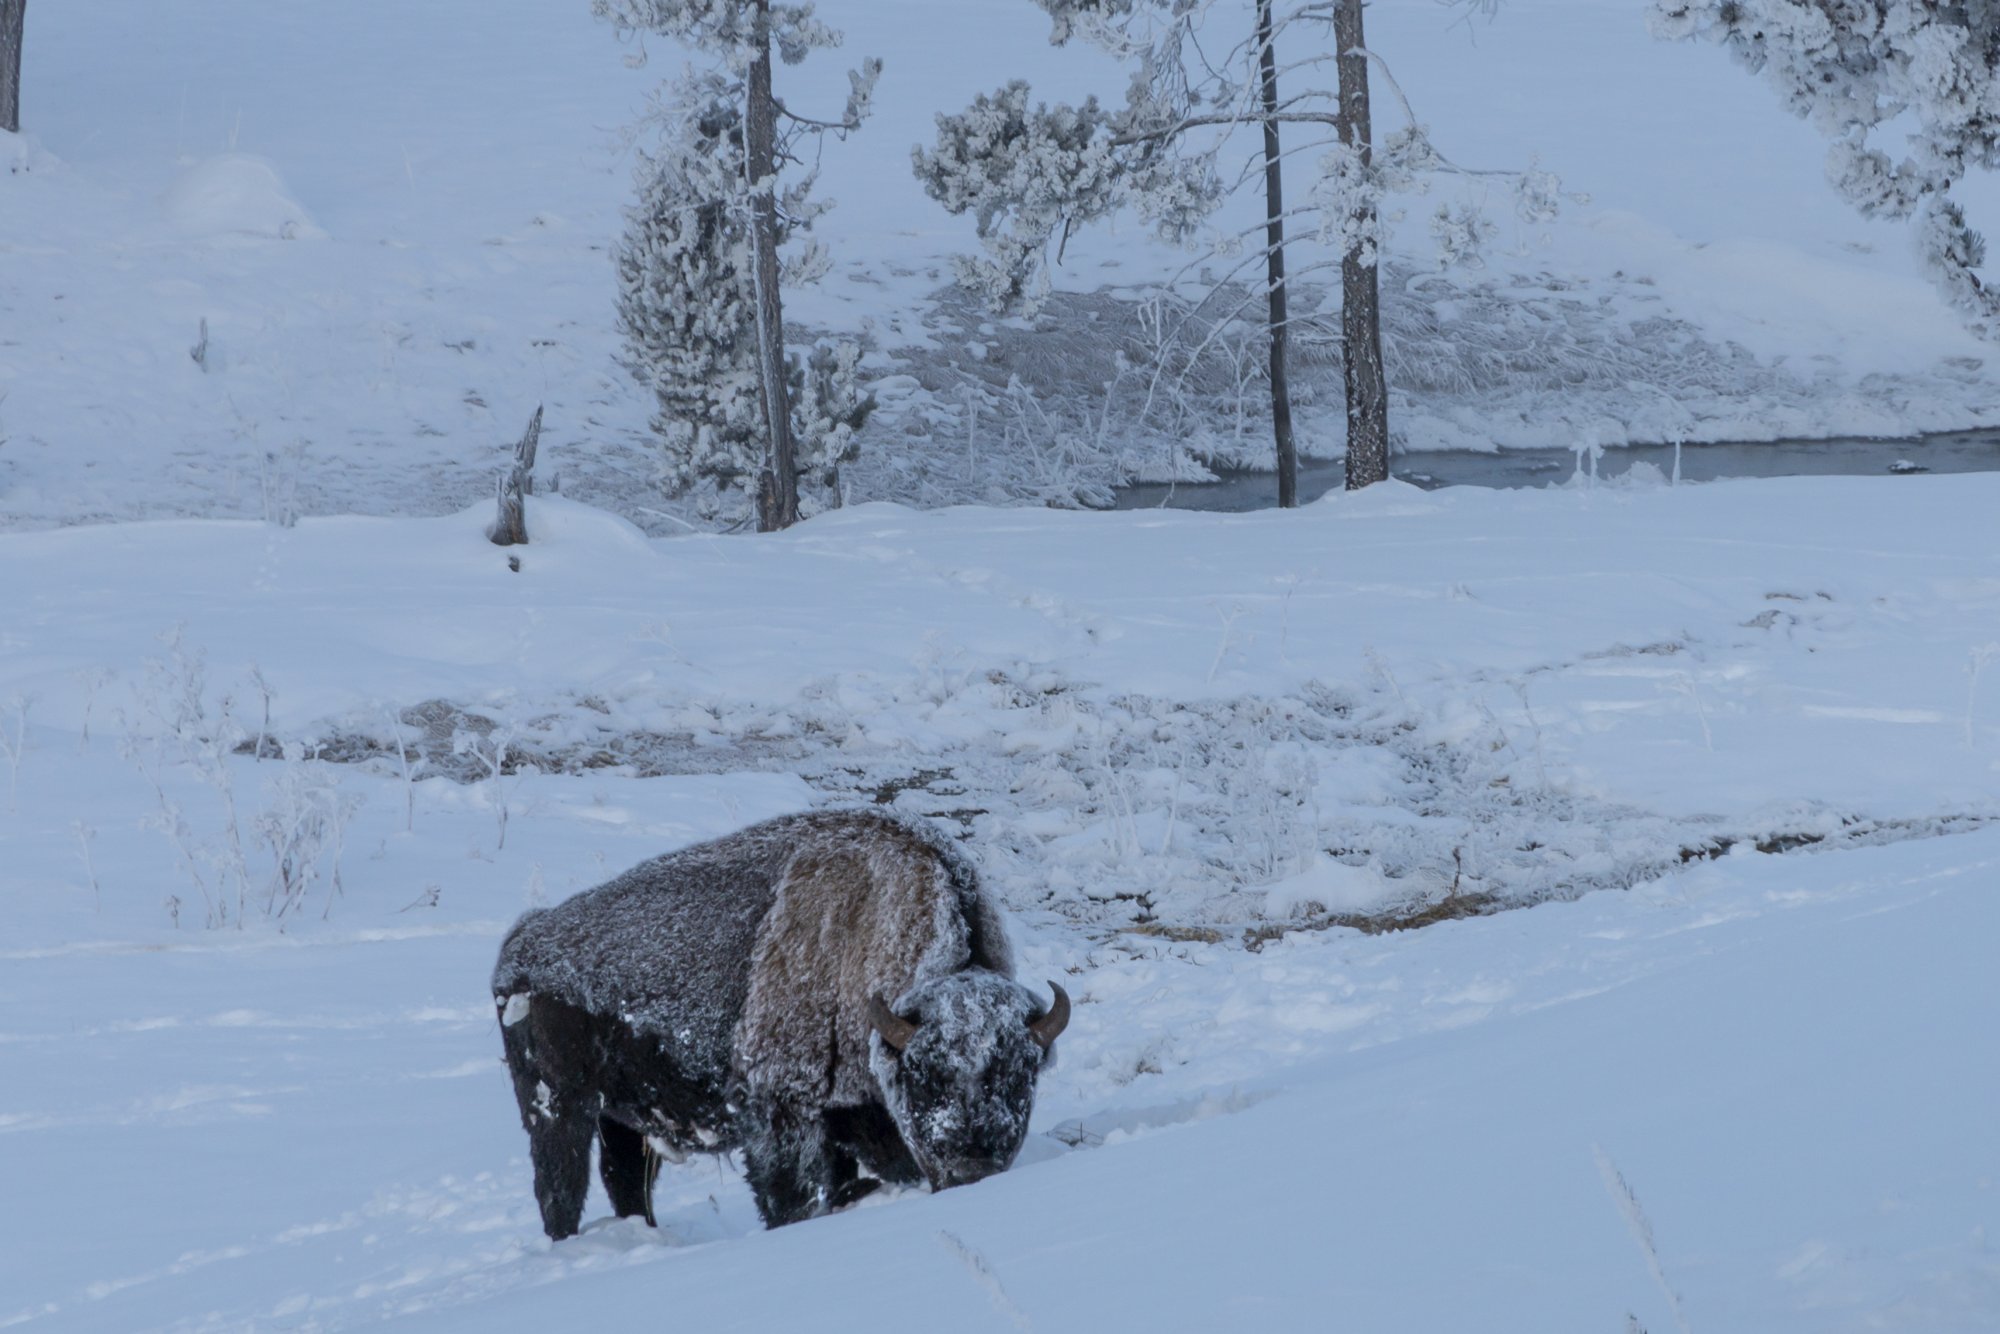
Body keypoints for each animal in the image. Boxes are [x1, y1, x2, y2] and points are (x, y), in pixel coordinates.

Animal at [490, 808, 1072, 1240]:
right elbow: (790, 1195)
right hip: (558, 1108)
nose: (971, 1169)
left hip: (619, 1120)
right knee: (560, 1189)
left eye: (1021, 1076)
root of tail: (520, 944)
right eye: (926, 1076)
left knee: (626, 1184)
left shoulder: (847, 1114)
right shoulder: (779, 1107)